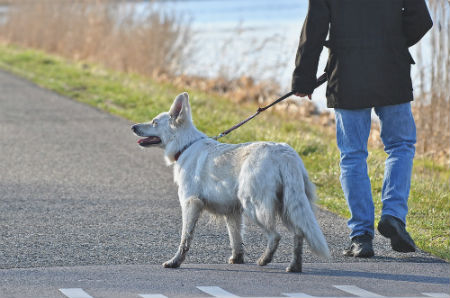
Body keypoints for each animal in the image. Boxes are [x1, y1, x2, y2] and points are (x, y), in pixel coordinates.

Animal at [132, 93, 328, 272]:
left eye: (154, 122)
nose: (133, 126)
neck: (185, 145)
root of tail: (284, 153)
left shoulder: (191, 204)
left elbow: (185, 238)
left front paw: (175, 262)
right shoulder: (232, 212)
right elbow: (236, 239)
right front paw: (237, 259)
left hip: (254, 206)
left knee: (276, 236)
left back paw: (264, 260)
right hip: (288, 206)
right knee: (299, 233)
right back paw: (294, 266)